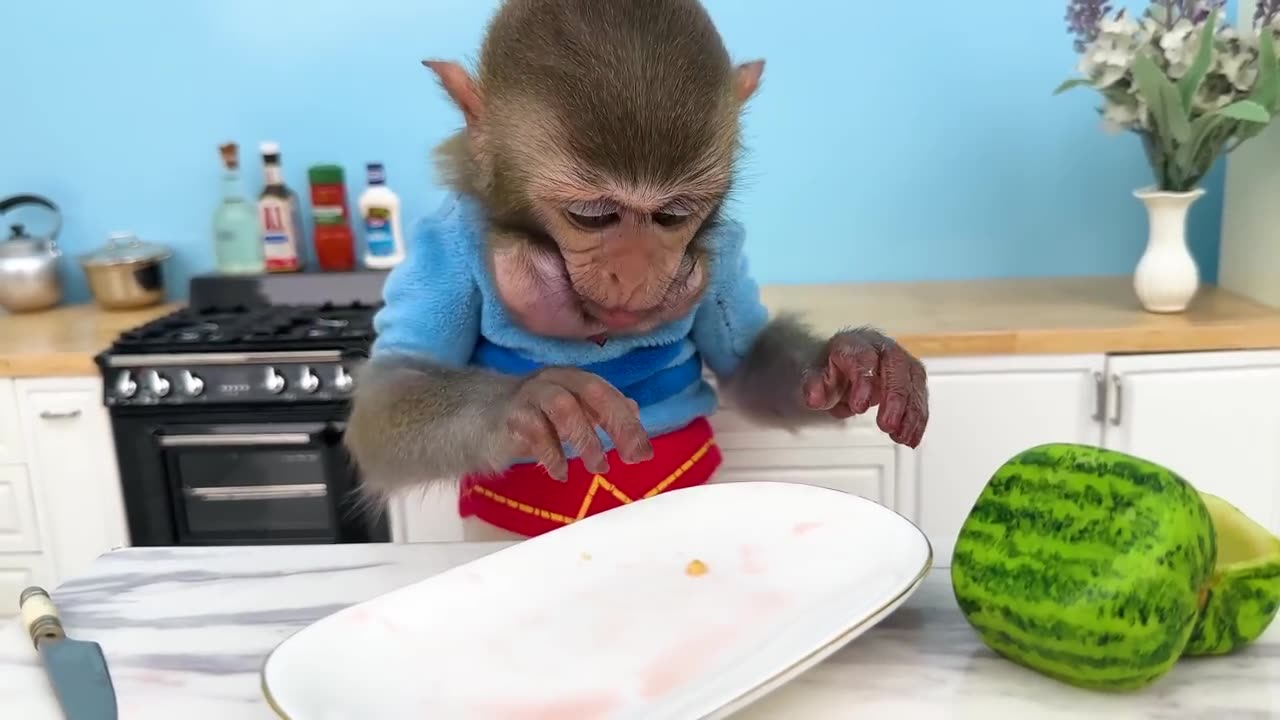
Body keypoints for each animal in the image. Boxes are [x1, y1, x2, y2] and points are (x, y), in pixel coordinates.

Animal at [343, 0, 929, 541]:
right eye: (591, 216)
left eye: (672, 215)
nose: (632, 275)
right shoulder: (441, 244)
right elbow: (385, 398)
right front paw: (534, 401)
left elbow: (743, 363)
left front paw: (849, 362)